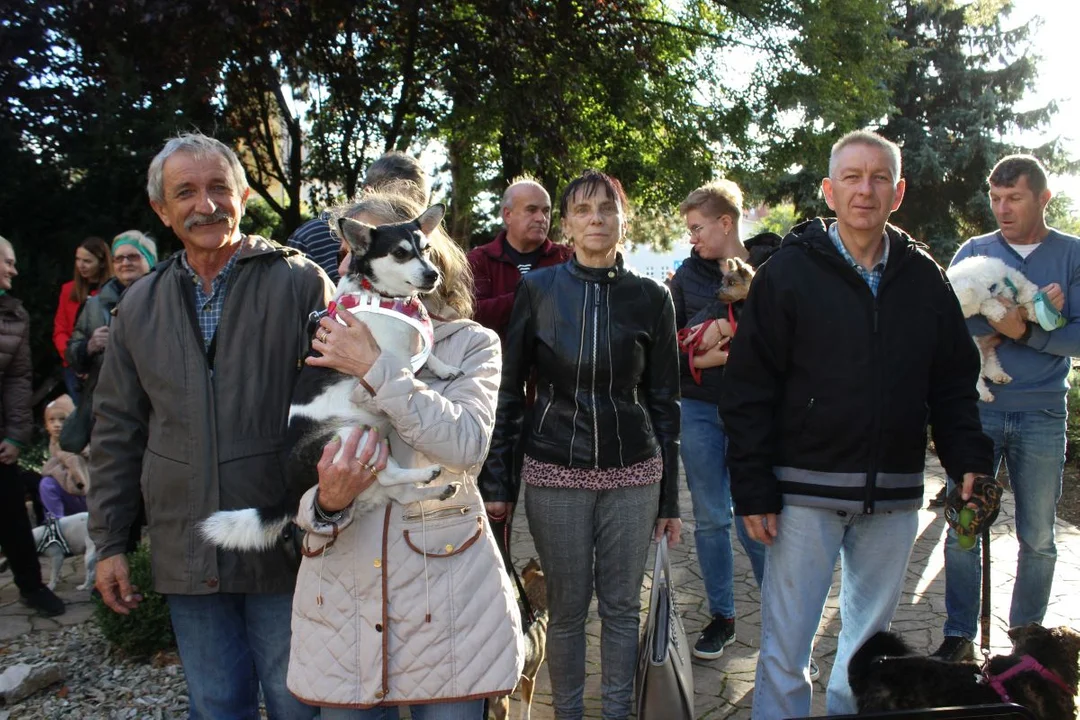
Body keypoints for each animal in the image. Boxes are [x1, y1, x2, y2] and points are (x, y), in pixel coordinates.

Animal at [200, 205, 462, 557]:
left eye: (428, 249)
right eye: (400, 253)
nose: (433, 274)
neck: (381, 296)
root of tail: (291, 490)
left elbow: (427, 351)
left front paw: (444, 368)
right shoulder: (387, 353)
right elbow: (406, 366)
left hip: (373, 445)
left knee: (399, 490)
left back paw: (437, 489)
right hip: (352, 435)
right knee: (390, 476)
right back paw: (428, 472)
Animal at [950, 255, 1041, 403]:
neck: (992, 287)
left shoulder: (1014, 278)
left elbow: (1028, 291)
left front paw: (1035, 311)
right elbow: (987, 303)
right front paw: (998, 312)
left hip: (986, 348)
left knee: (990, 363)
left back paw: (1000, 376)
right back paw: (984, 394)